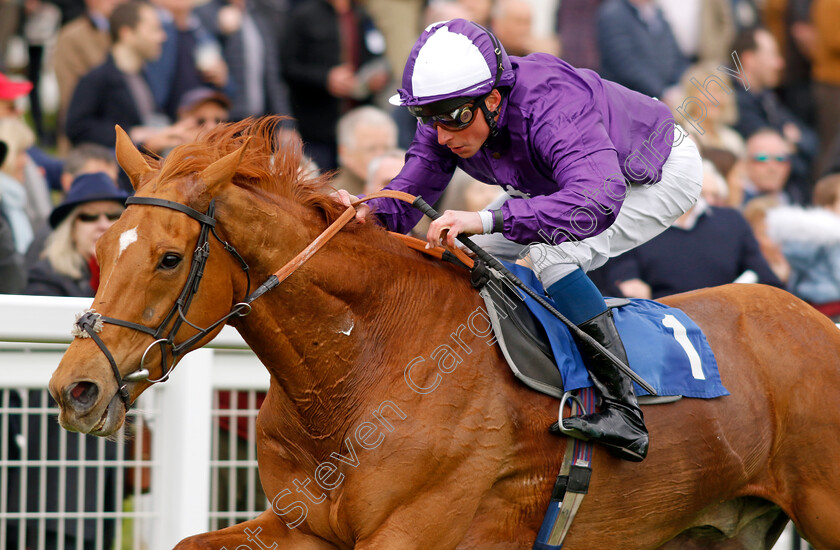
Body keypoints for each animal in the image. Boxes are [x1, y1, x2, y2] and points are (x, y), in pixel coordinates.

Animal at [50, 118, 840, 548]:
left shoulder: (409, 532)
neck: (360, 364)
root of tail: (814, 319)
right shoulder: (306, 526)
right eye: (105, 243)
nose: (74, 389)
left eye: (168, 257)